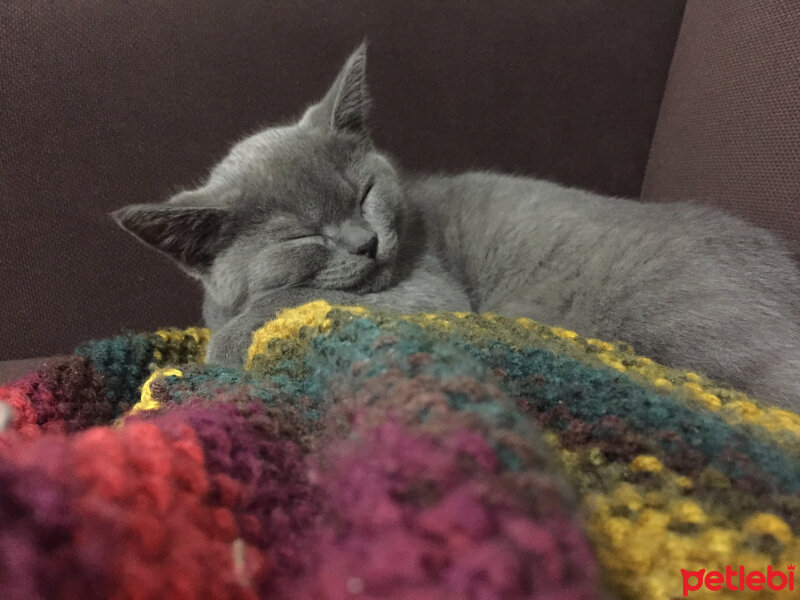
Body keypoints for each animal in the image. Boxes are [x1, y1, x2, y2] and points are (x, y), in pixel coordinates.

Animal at [112, 44, 800, 410]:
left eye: (364, 195)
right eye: (302, 234)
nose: (368, 243)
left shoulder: (427, 290)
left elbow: (285, 304)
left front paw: (224, 347)